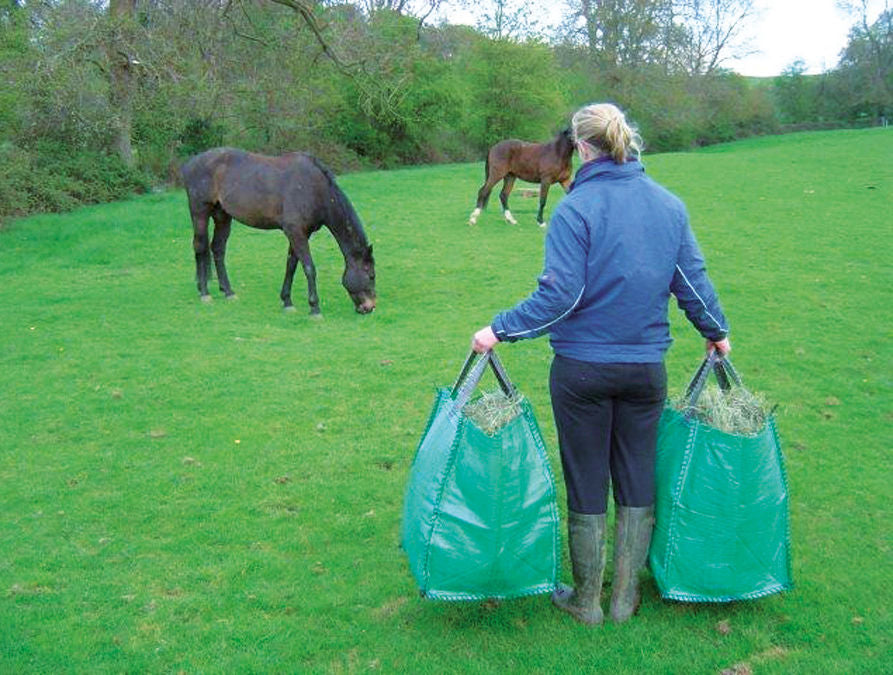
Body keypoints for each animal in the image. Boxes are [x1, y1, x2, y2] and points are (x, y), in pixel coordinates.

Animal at [179, 147, 374, 316]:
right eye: (371, 276)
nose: (370, 307)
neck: (314, 189)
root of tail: (189, 164)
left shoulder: (300, 233)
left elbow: (291, 265)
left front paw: (287, 301)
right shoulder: (295, 232)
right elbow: (309, 267)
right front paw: (314, 307)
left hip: (222, 215)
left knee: (218, 249)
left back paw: (228, 291)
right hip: (200, 212)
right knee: (200, 246)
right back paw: (204, 292)